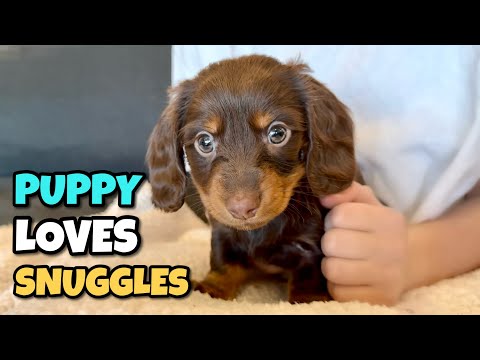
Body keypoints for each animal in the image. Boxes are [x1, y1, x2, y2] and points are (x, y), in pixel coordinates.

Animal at [146, 54, 356, 304]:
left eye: (278, 133)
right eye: (204, 142)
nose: (242, 209)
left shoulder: (310, 245)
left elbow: (309, 277)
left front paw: (308, 299)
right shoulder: (223, 231)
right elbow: (223, 261)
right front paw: (212, 288)